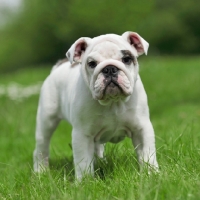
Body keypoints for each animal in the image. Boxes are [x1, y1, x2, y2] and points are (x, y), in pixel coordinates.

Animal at [33, 31, 159, 180]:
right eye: (92, 63)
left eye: (127, 59)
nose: (109, 68)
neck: (113, 102)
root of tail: (59, 66)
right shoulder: (82, 135)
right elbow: (83, 162)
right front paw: (85, 181)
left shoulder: (141, 129)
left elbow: (147, 153)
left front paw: (151, 174)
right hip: (47, 120)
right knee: (41, 146)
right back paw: (40, 171)